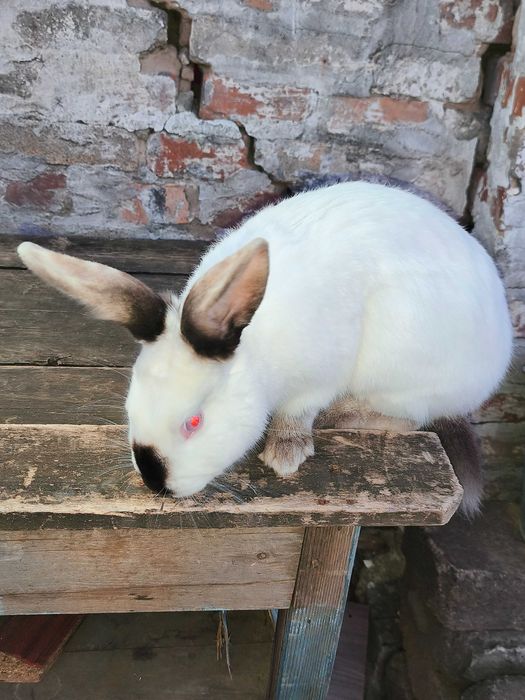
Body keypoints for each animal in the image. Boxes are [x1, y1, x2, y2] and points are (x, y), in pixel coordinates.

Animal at [17, 181, 513, 513]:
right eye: (130, 405)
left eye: (194, 422)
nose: (157, 483)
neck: (255, 358)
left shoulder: (320, 375)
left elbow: (298, 413)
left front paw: (285, 454)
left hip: (400, 370)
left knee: (409, 418)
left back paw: (344, 415)